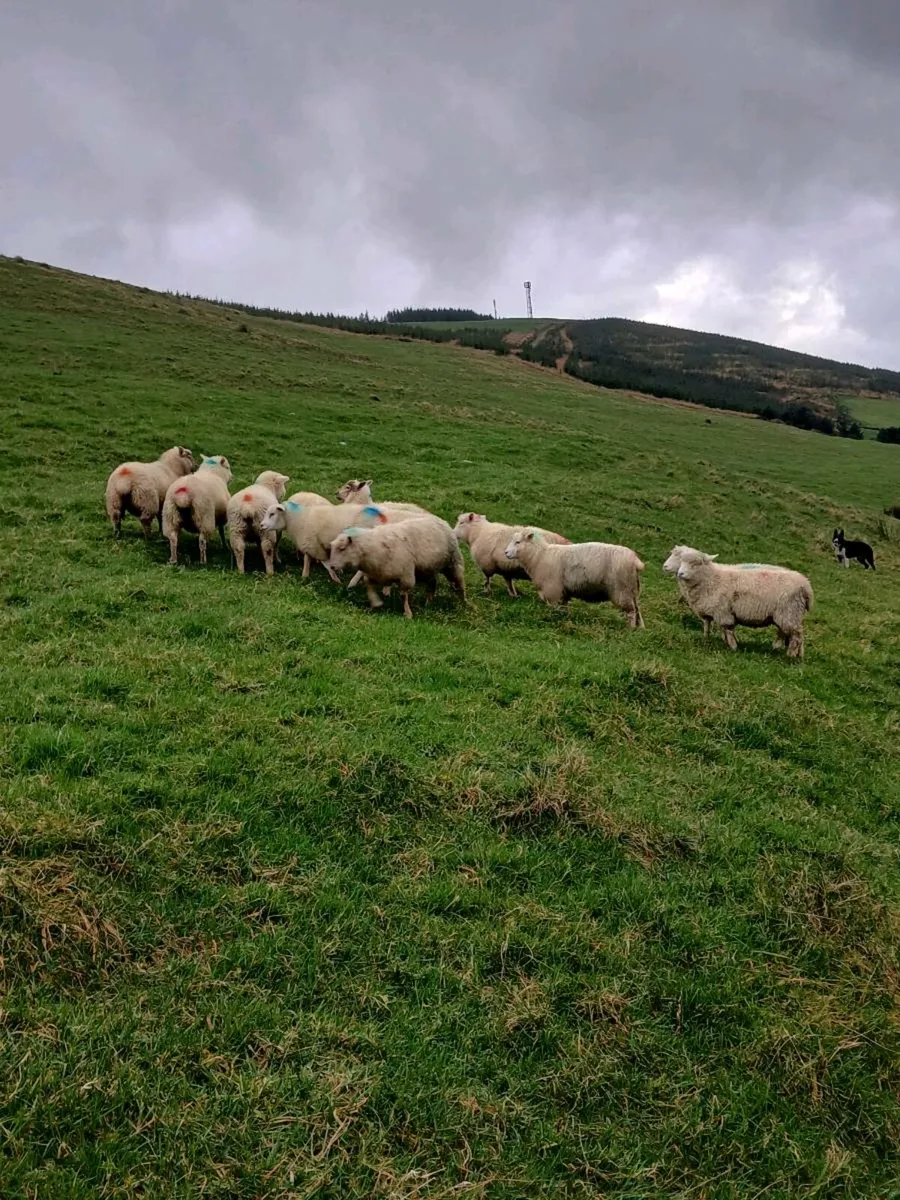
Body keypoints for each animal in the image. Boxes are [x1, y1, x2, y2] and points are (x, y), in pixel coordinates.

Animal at [328, 516, 466, 619]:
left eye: (342, 548)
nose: (332, 567)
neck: (371, 548)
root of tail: (441, 520)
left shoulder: (406, 576)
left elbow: (403, 595)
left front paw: (408, 614)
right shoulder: (375, 574)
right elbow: (369, 586)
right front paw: (376, 603)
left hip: (452, 564)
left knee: (459, 585)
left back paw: (465, 604)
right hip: (425, 569)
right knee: (433, 583)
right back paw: (428, 603)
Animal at [505, 530, 645, 628]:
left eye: (518, 542)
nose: (505, 553)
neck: (539, 556)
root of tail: (635, 561)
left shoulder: (553, 591)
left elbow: (555, 609)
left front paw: (552, 620)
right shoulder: (562, 593)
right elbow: (563, 609)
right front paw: (564, 619)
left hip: (622, 590)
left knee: (631, 612)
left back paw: (629, 629)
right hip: (632, 591)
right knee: (637, 611)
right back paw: (639, 629)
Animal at [662, 545, 813, 656]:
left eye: (696, 563)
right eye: (681, 560)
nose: (666, 567)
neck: (711, 578)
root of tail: (806, 585)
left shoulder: (722, 611)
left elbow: (728, 628)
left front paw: (733, 647)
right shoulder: (708, 609)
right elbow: (708, 625)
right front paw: (707, 639)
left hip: (789, 612)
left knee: (797, 635)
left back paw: (790, 655)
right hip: (787, 614)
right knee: (787, 633)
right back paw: (791, 652)